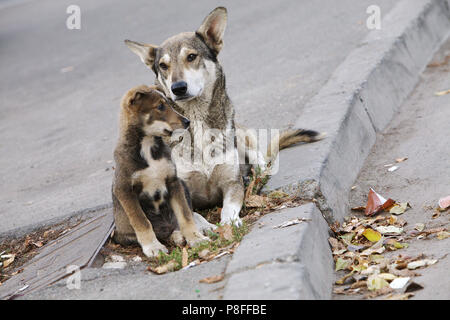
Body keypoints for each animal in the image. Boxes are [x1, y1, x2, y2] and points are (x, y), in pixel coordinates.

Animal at [114, 85, 209, 258]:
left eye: (169, 104)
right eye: (159, 106)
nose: (187, 122)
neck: (148, 146)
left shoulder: (173, 182)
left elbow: (185, 215)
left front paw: (196, 238)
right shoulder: (124, 190)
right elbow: (142, 222)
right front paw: (153, 247)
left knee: (178, 222)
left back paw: (180, 235)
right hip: (121, 234)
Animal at [123, 7, 324, 228]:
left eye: (191, 56)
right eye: (163, 65)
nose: (178, 88)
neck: (197, 121)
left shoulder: (231, 184)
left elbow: (229, 207)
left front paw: (229, 223)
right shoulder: (179, 189)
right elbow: (193, 216)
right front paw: (208, 228)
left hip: (241, 138)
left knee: (257, 157)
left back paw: (257, 175)